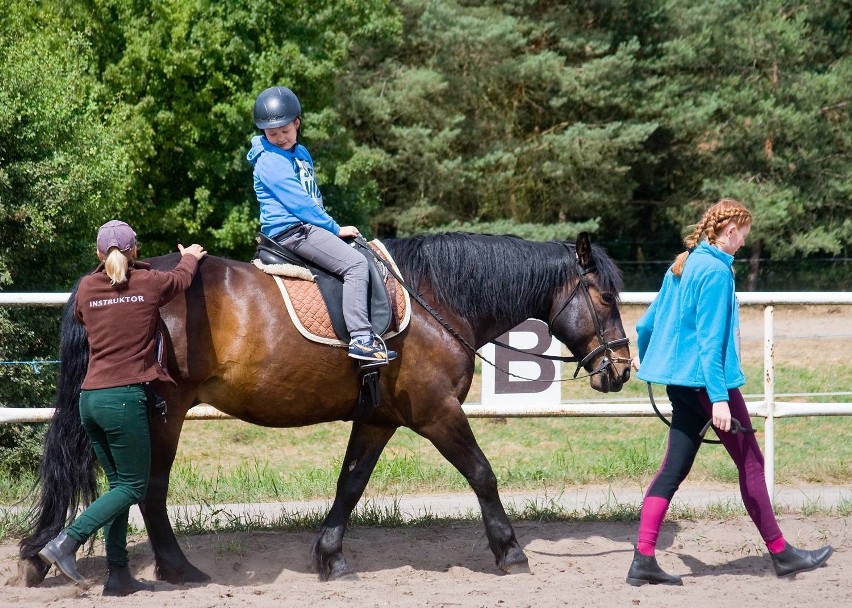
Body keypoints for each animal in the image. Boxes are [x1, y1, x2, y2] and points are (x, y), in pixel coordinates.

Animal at [18, 232, 632, 584]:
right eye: (605, 297)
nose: (622, 369)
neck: (437, 299)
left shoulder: (378, 418)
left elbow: (350, 484)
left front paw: (330, 558)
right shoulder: (436, 414)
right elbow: (482, 474)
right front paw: (510, 551)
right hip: (162, 413)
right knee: (149, 489)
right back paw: (177, 570)